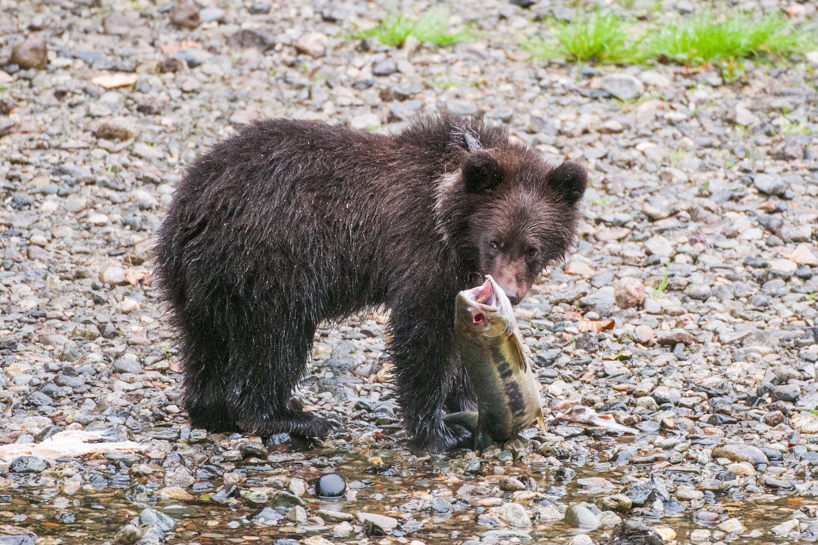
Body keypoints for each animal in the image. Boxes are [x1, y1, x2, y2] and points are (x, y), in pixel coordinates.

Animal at [155, 115, 586, 452]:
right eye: (495, 241)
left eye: (532, 248)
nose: (510, 291)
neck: (451, 223)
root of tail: (192, 204)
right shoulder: (419, 250)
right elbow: (422, 336)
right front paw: (440, 432)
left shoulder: (459, 272)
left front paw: (466, 402)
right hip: (270, 260)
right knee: (277, 339)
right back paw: (292, 418)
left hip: (202, 280)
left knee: (204, 340)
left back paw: (212, 412)